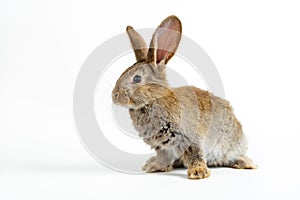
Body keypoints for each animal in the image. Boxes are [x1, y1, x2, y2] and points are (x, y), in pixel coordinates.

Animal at [111, 14, 256, 179]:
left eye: (136, 79)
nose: (114, 96)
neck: (155, 99)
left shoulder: (189, 137)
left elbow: (195, 154)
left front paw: (198, 173)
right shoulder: (162, 146)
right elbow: (163, 156)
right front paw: (154, 166)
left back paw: (246, 163)